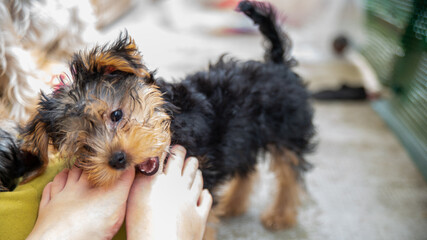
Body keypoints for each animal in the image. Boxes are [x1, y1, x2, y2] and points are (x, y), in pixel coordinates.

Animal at [0, 0, 314, 235]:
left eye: (116, 114)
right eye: (84, 146)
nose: (117, 159)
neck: (176, 124)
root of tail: (276, 64)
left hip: (288, 127)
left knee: (289, 171)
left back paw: (280, 215)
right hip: (245, 135)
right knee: (247, 165)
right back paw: (236, 203)